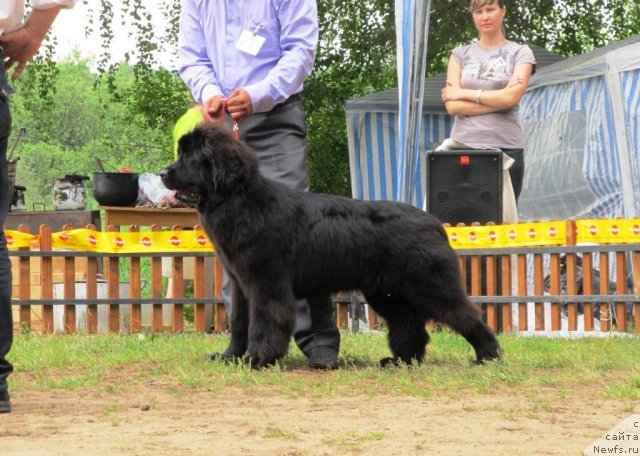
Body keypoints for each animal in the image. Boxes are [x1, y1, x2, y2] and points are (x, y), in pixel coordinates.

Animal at [160, 123, 500, 368]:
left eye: (189, 158)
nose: (164, 173)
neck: (241, 201)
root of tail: (435, 223)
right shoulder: (242, 284)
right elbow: (240, 324)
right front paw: (230, 357)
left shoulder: (266, 284)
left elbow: (264, 322)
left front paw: (258, 359)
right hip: (387, 292)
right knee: (410, 324)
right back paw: (399, 361)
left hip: (429, 285)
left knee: (465, 314)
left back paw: (488, 355)